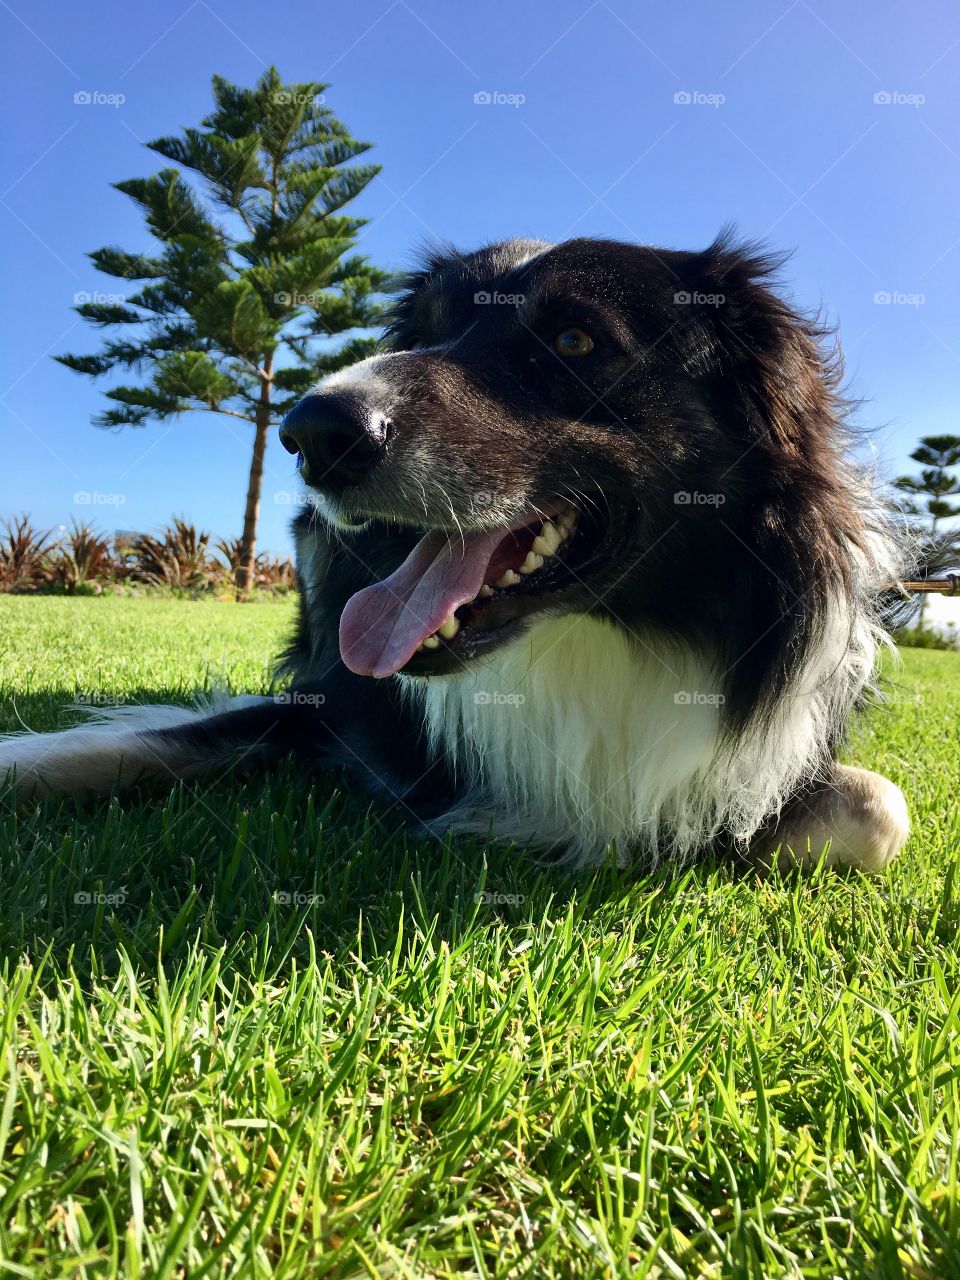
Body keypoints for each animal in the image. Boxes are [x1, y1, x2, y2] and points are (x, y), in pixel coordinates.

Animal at [0, 230, 931, 870]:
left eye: (574, 340)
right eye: (422, 330)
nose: (313, 433)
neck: (591, 637)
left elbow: (880, 809)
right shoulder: (336, 704)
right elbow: (121, 746)